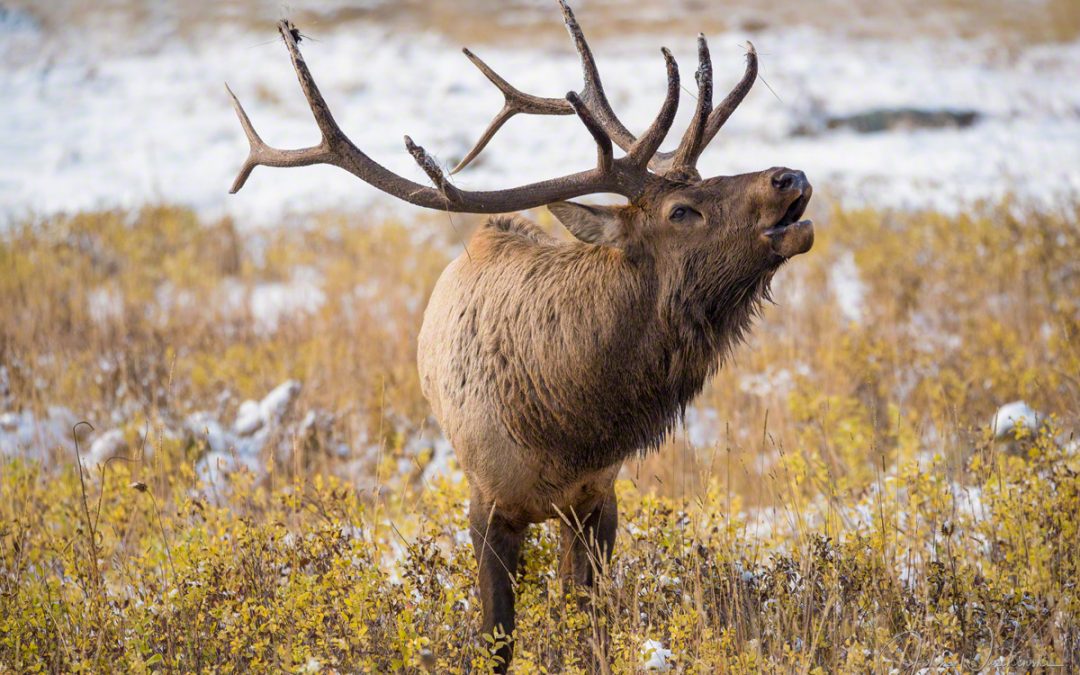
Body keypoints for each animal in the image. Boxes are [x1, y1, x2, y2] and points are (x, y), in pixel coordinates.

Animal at [232, 3, 812, 669]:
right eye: (681, 211)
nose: (789, 175)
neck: (568, 427)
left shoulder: (597, 498)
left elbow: (588, 625)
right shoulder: (487, 502)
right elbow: (496, 640)